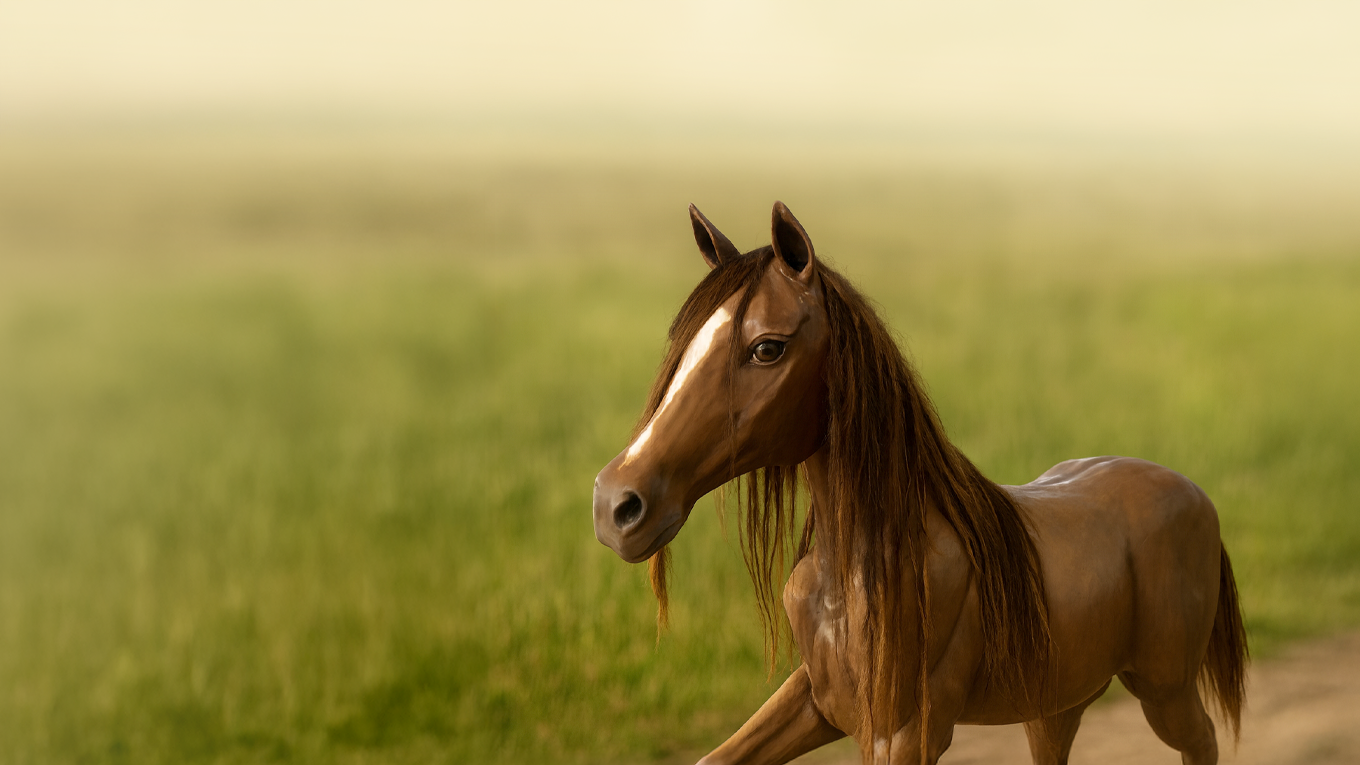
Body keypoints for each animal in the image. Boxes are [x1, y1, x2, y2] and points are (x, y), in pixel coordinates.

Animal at [591, 202, 1248, 765]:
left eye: (767, 347)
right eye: (683, 344)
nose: (616, 505)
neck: (865, 568)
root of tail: (1195, 494)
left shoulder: (906, 732)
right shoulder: (817, 700)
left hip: (1163, 688)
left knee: (1202, 742)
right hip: (1058, 700)